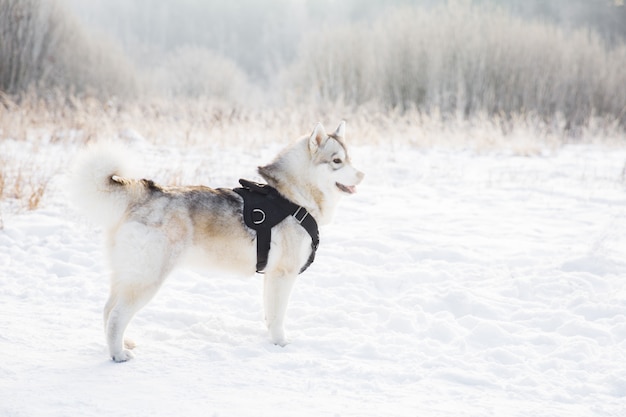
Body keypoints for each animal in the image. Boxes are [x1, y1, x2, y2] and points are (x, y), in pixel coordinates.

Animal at [69, 121, 360, 360]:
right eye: (336, 161)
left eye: (349, 159)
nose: (361, 175)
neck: (294, 197)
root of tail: (146, 193)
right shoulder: (283, 275)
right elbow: (278, 318)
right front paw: (280, 345)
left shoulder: (271, 276)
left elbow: (270, 314)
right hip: (146, 279)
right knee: (117, 316)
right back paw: (118, 355)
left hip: (128, 274)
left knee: (107, 310)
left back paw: (121, 344)